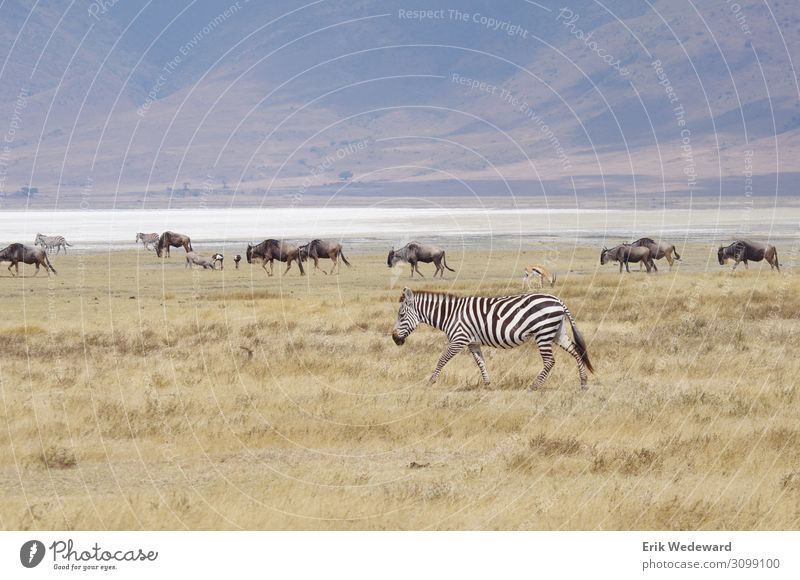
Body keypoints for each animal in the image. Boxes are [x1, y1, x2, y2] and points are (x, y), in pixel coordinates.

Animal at [390, 286, 592, 390]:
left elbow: (442, 359)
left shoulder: (459, 339)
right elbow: (481, 363)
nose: (394, 339)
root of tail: (558, 300)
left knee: (550, 361)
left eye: (401, 315)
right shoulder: (472, 343)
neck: (451, 315)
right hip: (557, 332)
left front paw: (431, 381)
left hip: (543, 333)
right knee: (576, 352)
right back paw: (583, 383)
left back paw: (534, 386)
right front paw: (488, 385)